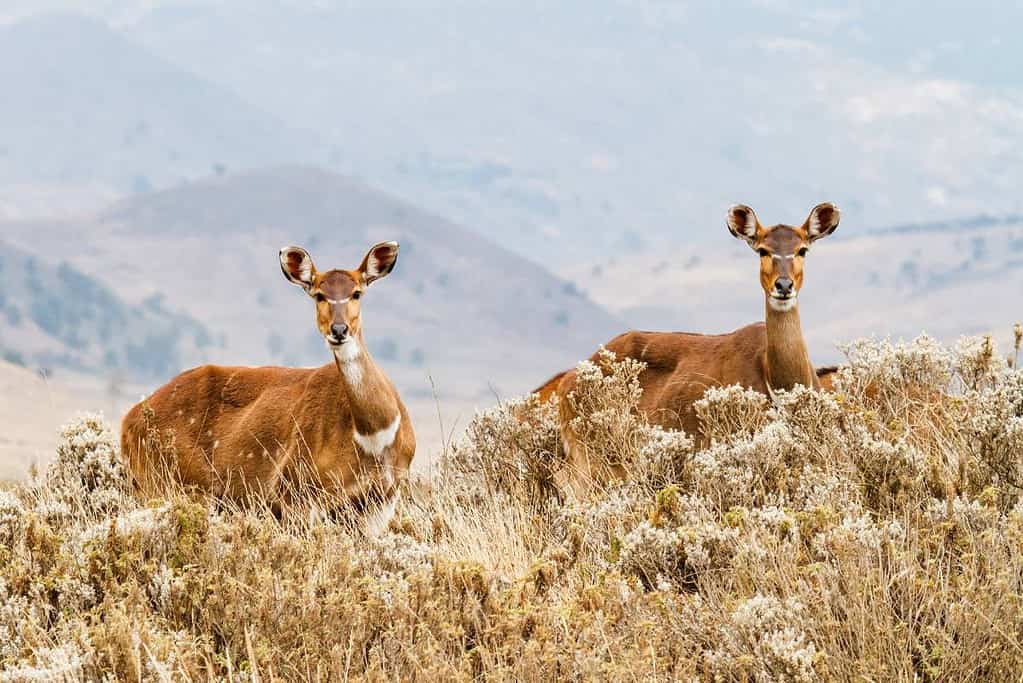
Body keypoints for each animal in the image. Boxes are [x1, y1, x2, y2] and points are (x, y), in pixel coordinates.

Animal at [121, 240, 417, 531]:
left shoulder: (382, 500)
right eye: (319, 295)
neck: (374, 436)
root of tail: (129, 421)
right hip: (171, 483)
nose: (339, 330)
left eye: (356, 293)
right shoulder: (294, 491)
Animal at [548, 202, 842, 496]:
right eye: (762, 250)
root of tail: (567, 382)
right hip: (593, 460)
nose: (783, 285)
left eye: (802, 249)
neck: (776, 381)